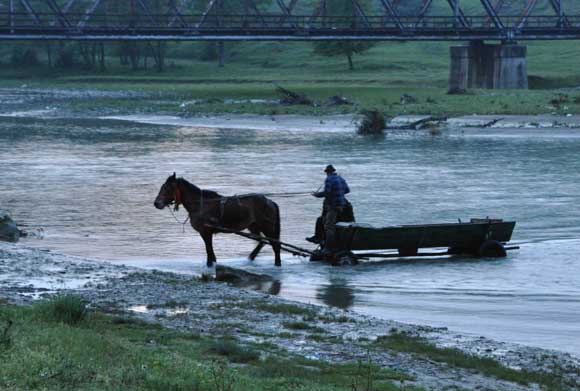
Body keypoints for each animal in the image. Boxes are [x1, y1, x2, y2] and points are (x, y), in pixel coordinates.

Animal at [153, 174, 282, 268]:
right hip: (253, 226)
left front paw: (210, 265)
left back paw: (277, 264)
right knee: (262, 241)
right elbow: (210, 252)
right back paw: (251, 257)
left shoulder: (206, 232)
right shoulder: (206, 233)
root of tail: (270, 201)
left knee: (275, 245)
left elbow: (209, 250)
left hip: (268, 227)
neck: (200, 205)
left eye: (167, 188)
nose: (156, 203)